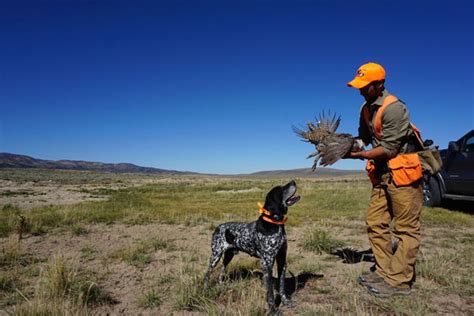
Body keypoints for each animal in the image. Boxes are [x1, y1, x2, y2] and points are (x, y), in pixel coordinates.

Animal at [204, 180, 300, 314]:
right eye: (281, 189)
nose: (293, 181)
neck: (275, 223)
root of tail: (218, 227)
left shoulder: (282, 260)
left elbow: (282, 285)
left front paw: (286, 302)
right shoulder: (267, 264)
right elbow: (270, 292)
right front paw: (273, 309)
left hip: (228, 255)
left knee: (222, 269)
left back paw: (221, 284)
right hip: (215, 255)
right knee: (208, 273)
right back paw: (205, 290)